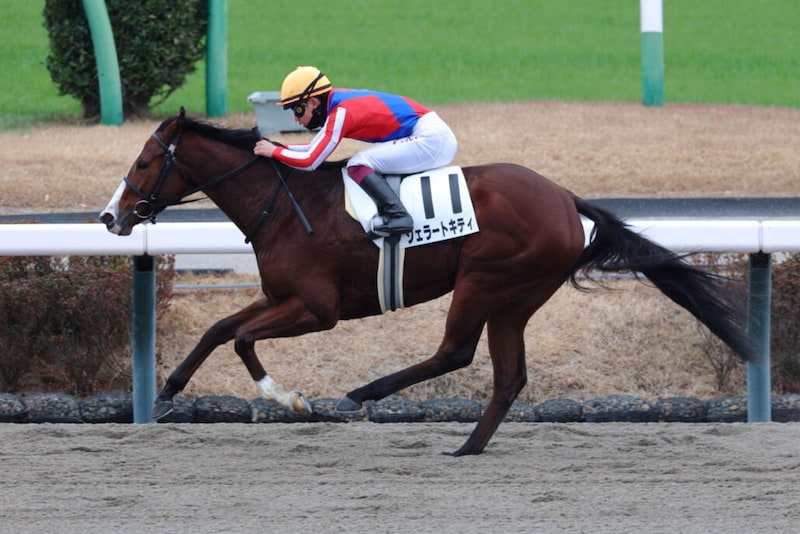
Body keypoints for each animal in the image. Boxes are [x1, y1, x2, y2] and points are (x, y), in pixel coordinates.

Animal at [100, 108, 757, 456]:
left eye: (144, 163)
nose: (111, 217)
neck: (283, 204)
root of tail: (564, 197)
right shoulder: (279, 295)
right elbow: (218, 329)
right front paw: (167, 389)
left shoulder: (317, 307)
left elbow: (240, 340)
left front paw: (291, 398)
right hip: (516, 298)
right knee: (508, 376)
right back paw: (468, 446)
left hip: (485, 279)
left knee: (455, 352)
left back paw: (366, 392)